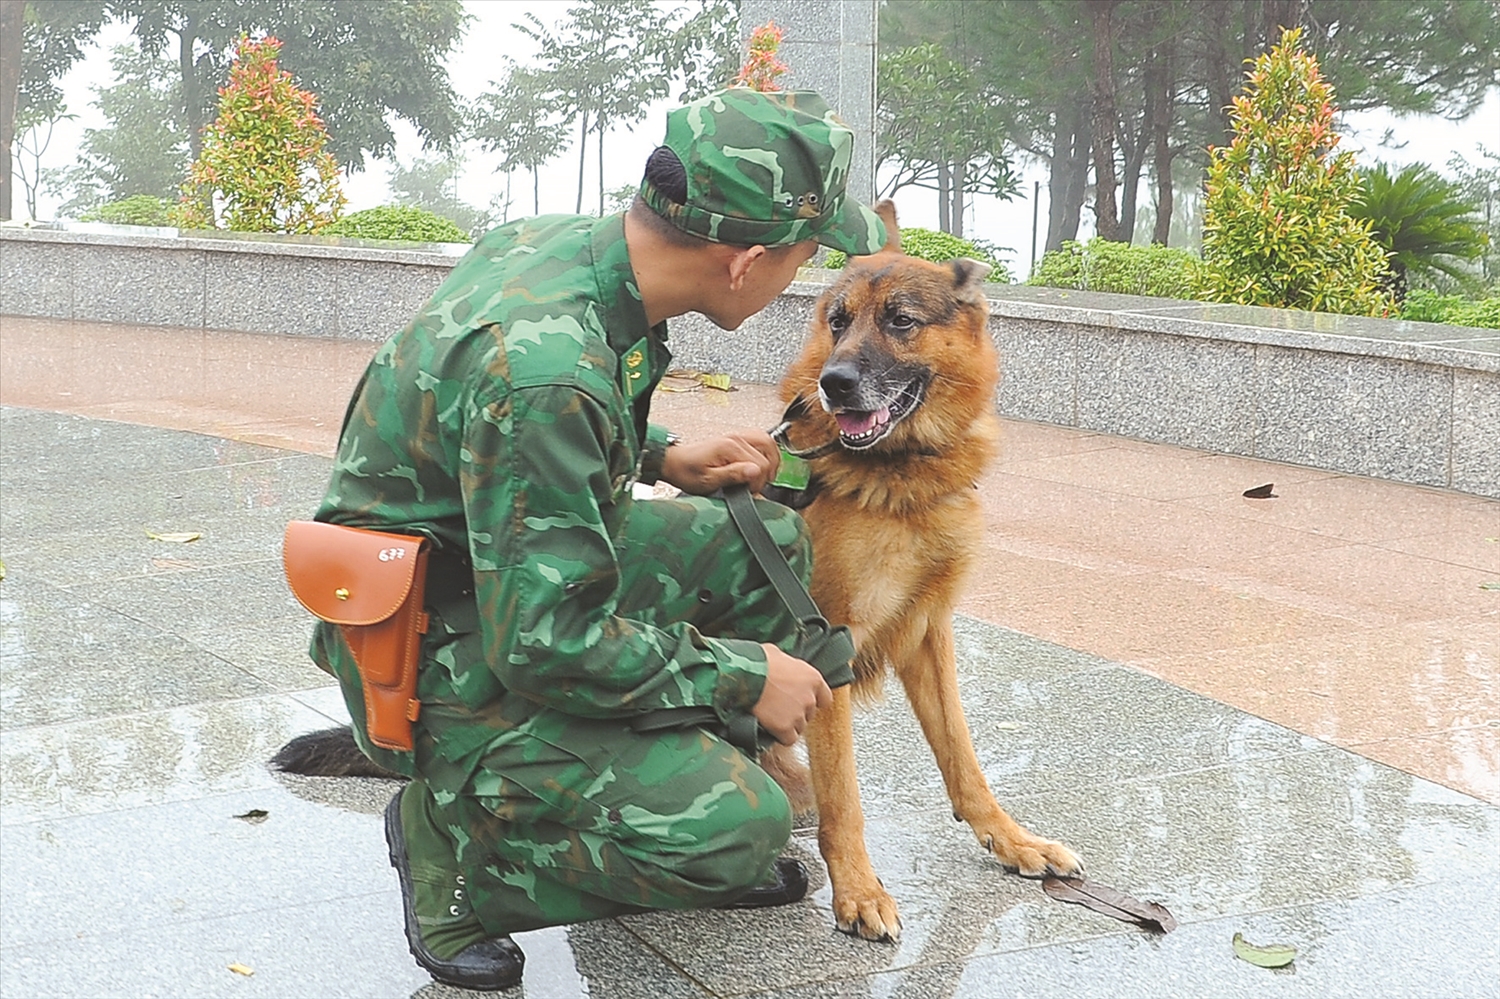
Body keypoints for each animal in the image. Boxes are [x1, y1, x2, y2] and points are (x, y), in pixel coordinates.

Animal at [273, 201, 1080, 942]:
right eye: (839, 321)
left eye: (901, 321)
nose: (835, 384)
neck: (901, 475)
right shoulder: (831, 640)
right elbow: (847, 795)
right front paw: (858, 889)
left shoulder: (928, 632)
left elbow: (963, 759)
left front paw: (1013, 841)